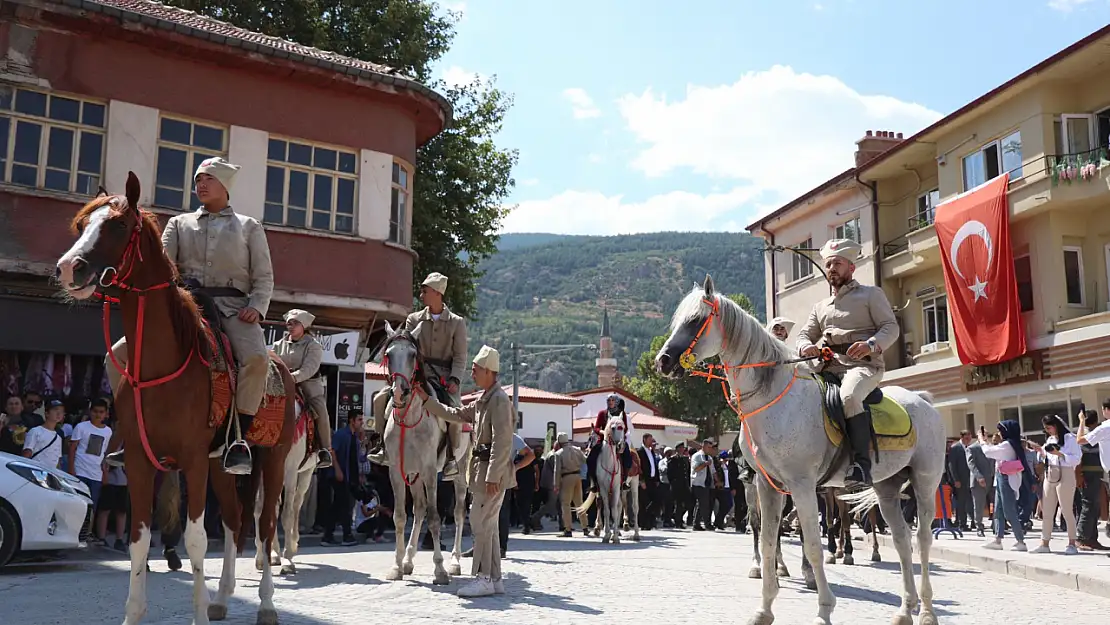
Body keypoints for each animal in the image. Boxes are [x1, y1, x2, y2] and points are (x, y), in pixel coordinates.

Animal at [56, 172, 295, 625]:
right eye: (80, 225)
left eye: (118, 225)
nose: (68, 268)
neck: (161, 365)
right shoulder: (139, 461)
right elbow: (137, 539)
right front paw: (135, 614)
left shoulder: (193, 460)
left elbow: (197, 539)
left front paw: (198, 612)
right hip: (222, 466)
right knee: (235, 520)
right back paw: (222, 599)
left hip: (272, 460)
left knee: (265, 525)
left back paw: (267, 605)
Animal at [254, 395, 317, 577]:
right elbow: (260, 510)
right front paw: (260, 558)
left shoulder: (291, 471)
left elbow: (288, 513)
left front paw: (288, 560)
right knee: (275, 507)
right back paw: (274, 553)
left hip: (306, 474)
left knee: (296, 505)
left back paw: (293, 545)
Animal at [379, 326, 470, 586]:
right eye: (388, 354)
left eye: (412, 354)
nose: (400, 392)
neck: (409, 419)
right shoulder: (397, 472)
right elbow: (400, 517)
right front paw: (397, 566)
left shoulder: (430, 473)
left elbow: (435, 518)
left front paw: (439, 569)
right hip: (414, 474)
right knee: (418, 510)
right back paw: (409, 560)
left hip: (460, 473)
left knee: (458, 514)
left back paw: (455, 562)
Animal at [577, 417, 630, 546]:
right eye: (613, 427)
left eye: (623, 427)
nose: (621, 446)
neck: (609, 462)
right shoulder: (603, 488)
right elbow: (605, 510)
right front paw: (605, 534)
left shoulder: (616, 488)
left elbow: (614, 510)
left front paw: (614, 536)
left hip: (621, 490)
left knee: (619, 506)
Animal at [652, 277, 941, 625]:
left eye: (695, 320)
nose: (663, 361)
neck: (773, 398)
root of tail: (923, 398)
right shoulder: (768, 485)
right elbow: (767, 540)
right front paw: (764, 610)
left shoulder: (802, 486)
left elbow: (814, 544)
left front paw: (824, 608)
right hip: (887, 487)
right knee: (901, 541)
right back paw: (905, 610)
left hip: (925, 482)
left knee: (922, 539)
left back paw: (927, 611)